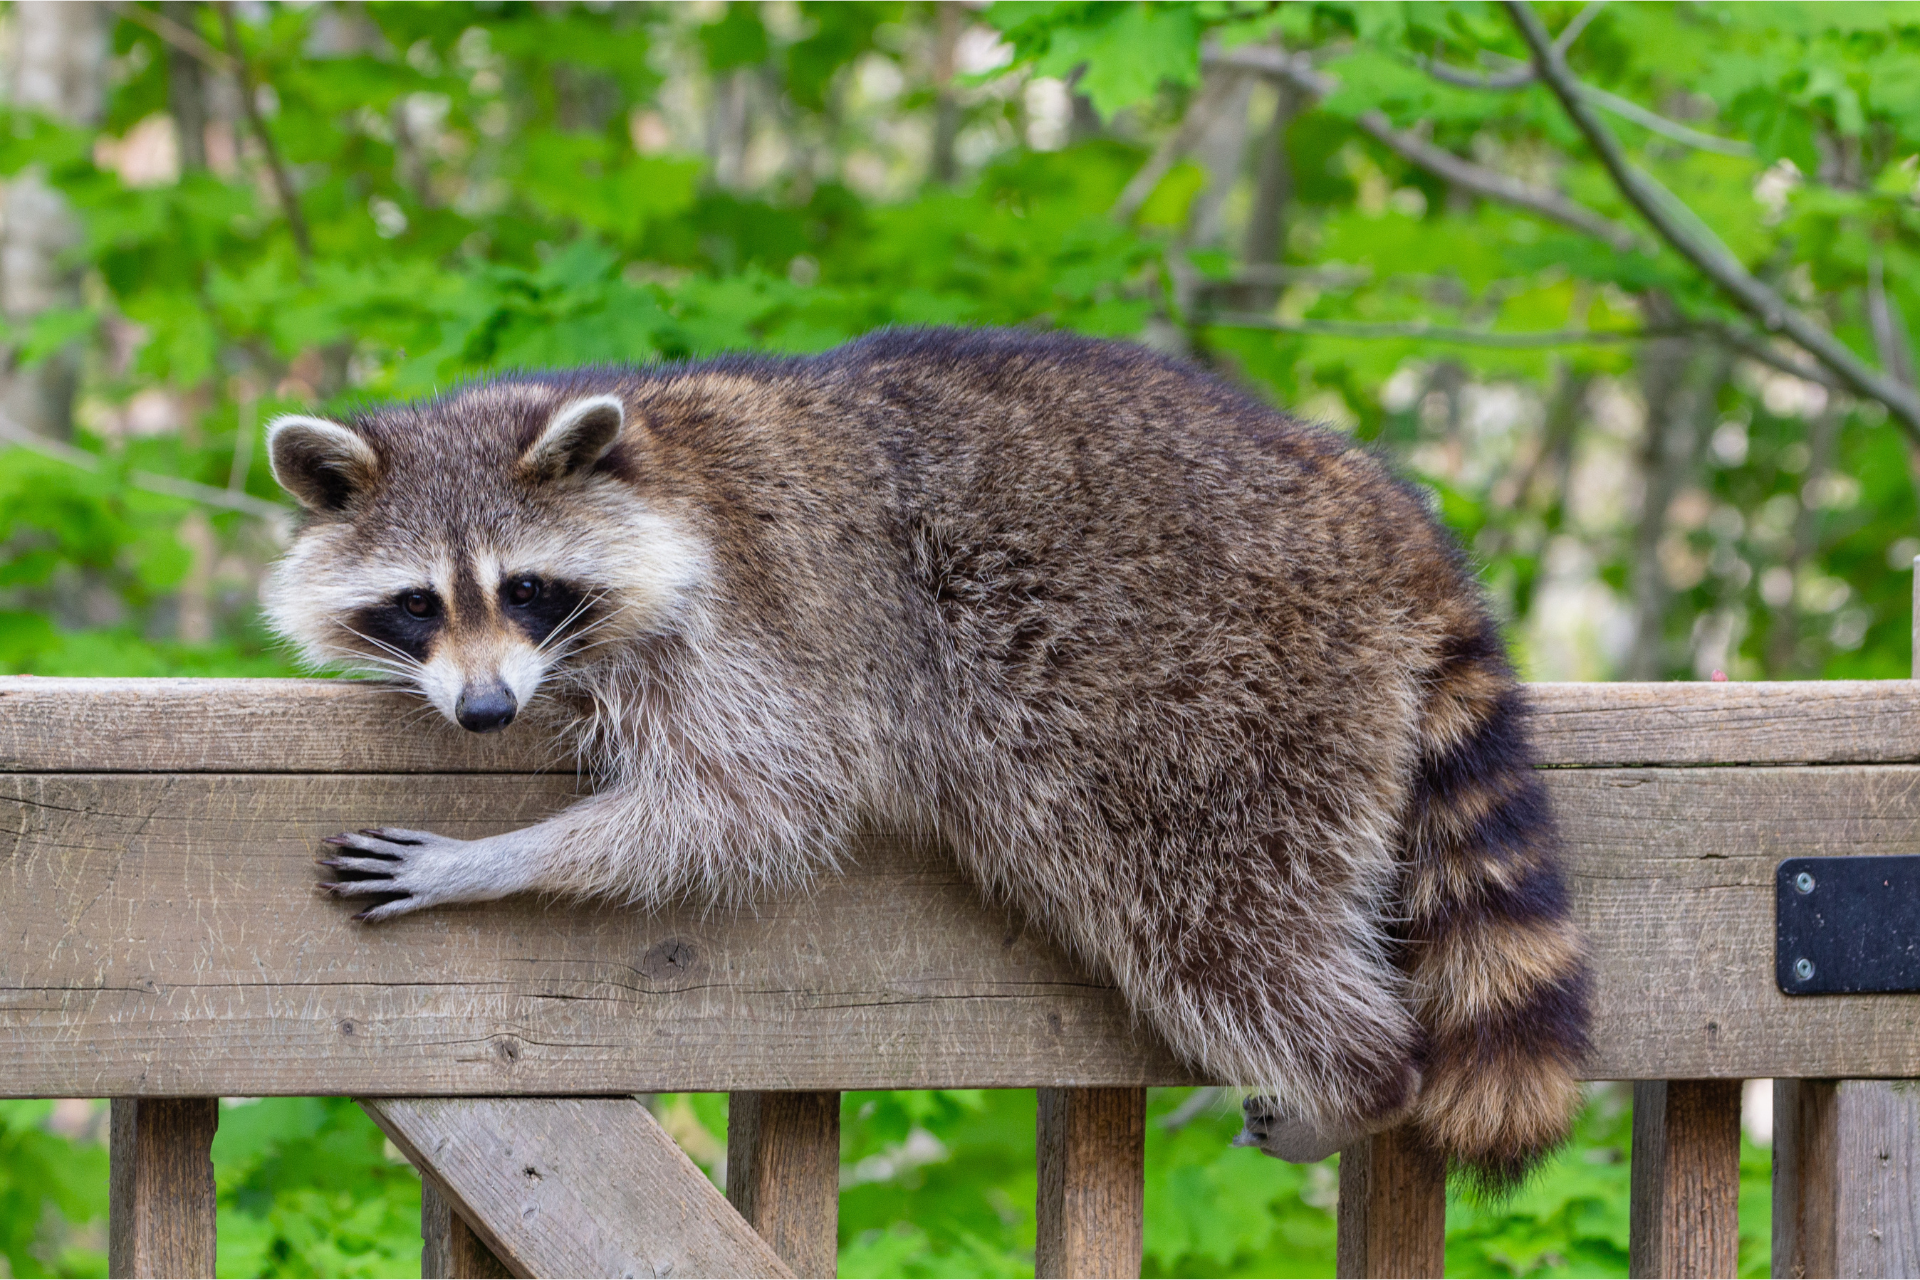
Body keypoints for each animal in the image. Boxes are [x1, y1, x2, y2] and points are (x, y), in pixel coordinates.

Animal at [265, 327, 1589, 1190]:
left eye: (528, 588)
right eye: (418, 603)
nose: (487, 712)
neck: (653, 462)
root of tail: (1378, 508)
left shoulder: (754, 628)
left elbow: (753, 804)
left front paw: (494, 857)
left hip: (1220, 694)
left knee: (1216, 919)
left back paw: (1359, 1077)